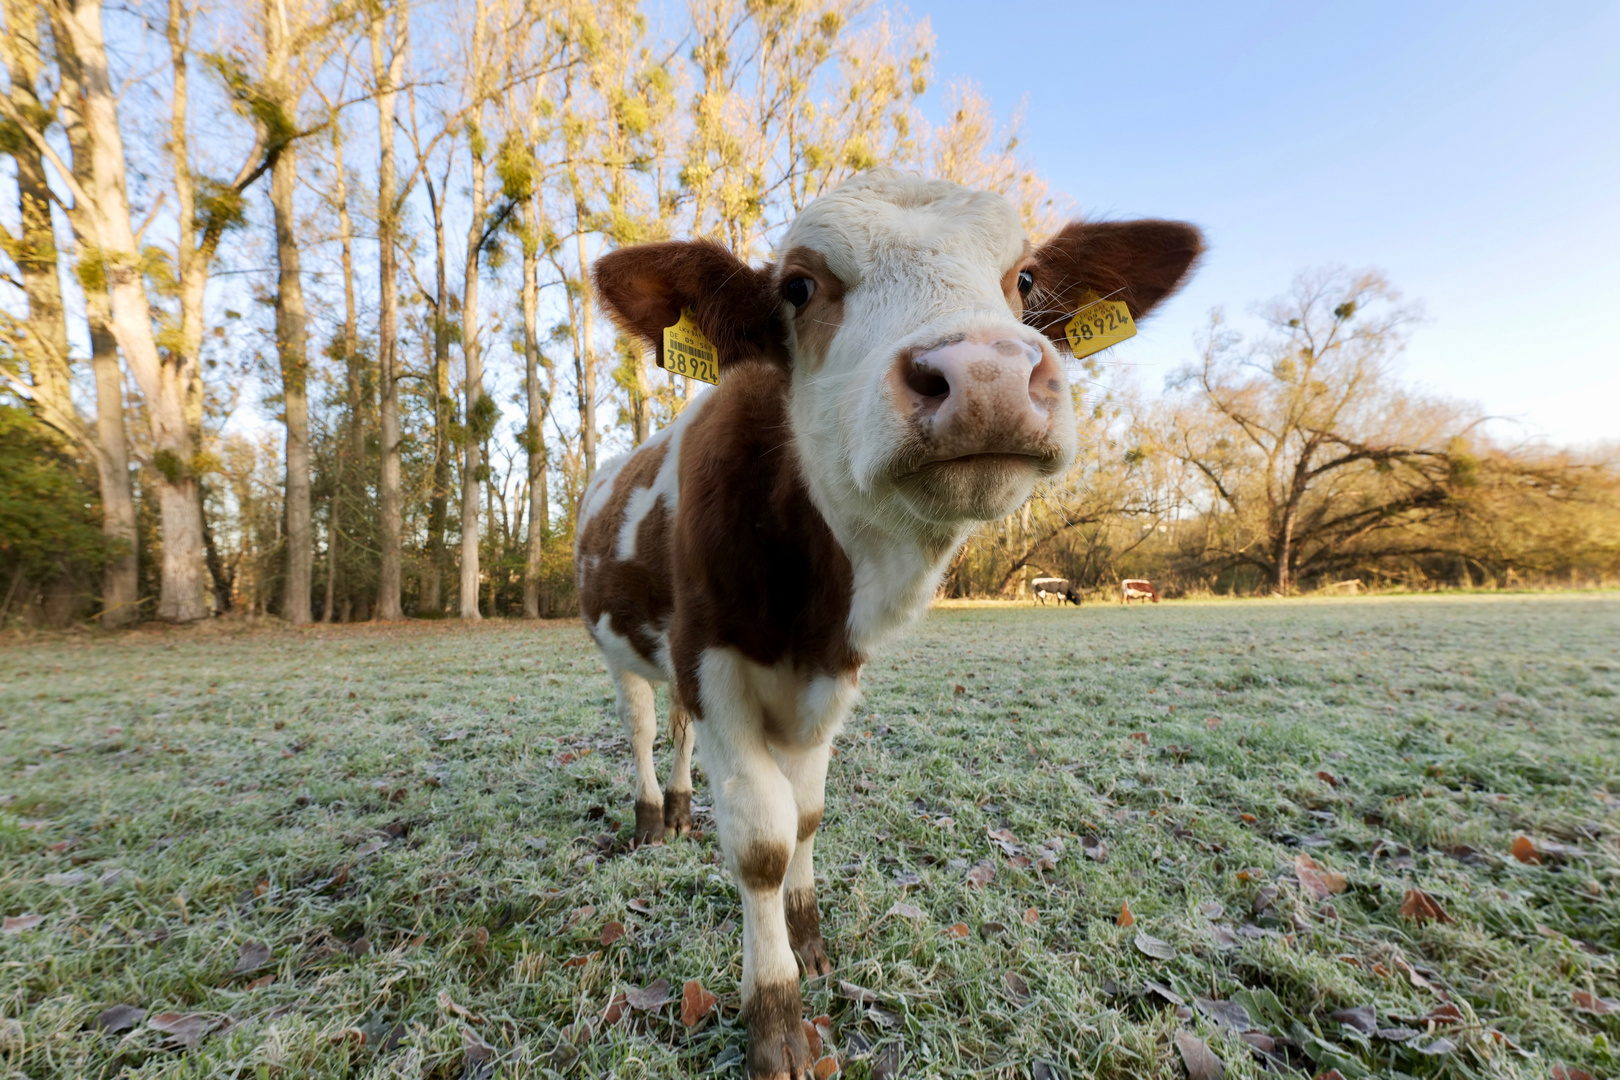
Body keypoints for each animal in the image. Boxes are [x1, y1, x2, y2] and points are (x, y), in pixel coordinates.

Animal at [576, 169, 1198, 1080]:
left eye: (1024, 280)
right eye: (799, 286)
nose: (985, 375)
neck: (814, 596)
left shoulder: (833, 676)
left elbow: (805, 816)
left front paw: (807, 937)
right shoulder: (714, 662)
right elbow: (761, 842)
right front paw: (776, 1016)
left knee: (681, 734)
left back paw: (686, 807)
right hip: (626, 649)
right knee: (646, 726)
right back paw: (654, 815)